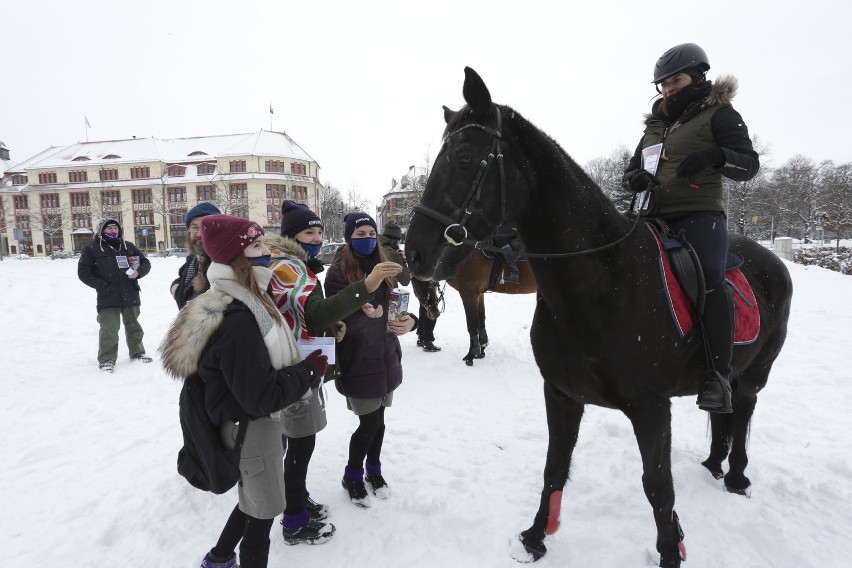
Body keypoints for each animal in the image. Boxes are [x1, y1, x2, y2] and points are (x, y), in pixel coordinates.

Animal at [406, 70, 792, 568]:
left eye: (466, 157)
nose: (415, 252)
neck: (604, 281)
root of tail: (770, 259)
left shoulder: (651, 408)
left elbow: (658, 487)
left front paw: (670, 551)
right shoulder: (562, 394)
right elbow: (554, 467)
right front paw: (537, 536)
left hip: (755, 371)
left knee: (742, 411)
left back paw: (737, 476)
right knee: (725, 419)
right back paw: (713, 463)